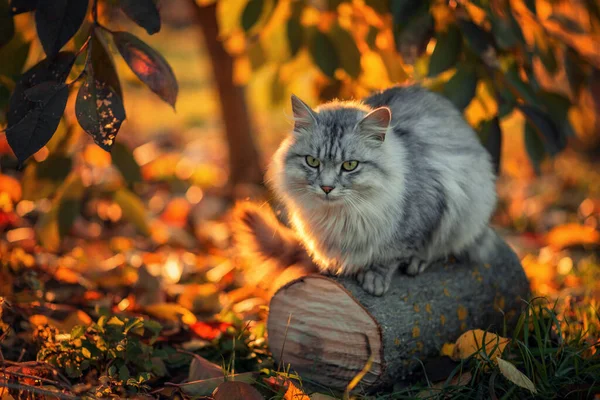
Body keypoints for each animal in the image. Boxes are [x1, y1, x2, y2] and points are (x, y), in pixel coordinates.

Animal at [232, 84, 500, 296]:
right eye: (312, 162)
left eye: (350, 165)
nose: (327, 187)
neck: (339, 217)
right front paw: (332, 264)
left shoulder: (424, 212)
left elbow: (391, 254)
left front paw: (374, 278)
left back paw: (417, 262)